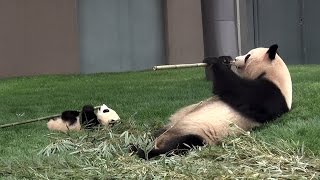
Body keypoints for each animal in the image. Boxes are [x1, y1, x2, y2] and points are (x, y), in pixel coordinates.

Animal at [131, 44, 292, 160]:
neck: (275, 75)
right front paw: (224, 58)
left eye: (248, 56)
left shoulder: (270, 94)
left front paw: (216, 61)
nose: (235, 58)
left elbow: (235, 88)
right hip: (170, 127)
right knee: (156, 134)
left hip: (196, 134)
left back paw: (147, 151)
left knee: (183, 143)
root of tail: (161, 140)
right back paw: (136, 145)